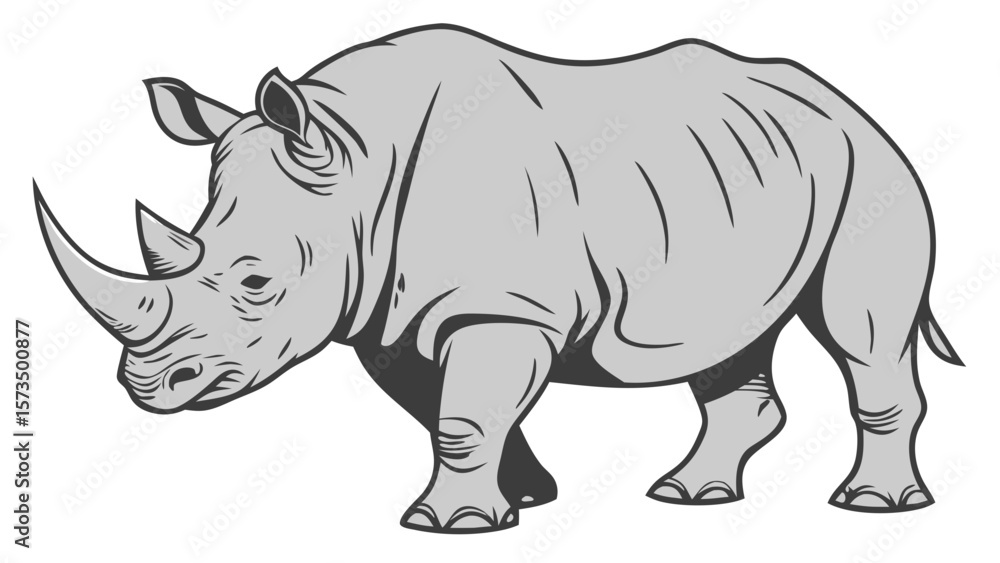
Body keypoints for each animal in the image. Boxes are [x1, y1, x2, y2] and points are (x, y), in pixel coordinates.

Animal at [35, 25, 962, 533]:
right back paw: (690, 496)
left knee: (860, 333)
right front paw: (523, 499)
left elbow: (462, 413)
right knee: (729, 334)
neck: (357, 160)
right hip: (756, 180)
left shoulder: (501, 309)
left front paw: (448, 524)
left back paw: (873, 507)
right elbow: (447, 410)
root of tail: (850, 104)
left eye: (257, 283)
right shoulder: (391, 314)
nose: (147, 387)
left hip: (873, 173)